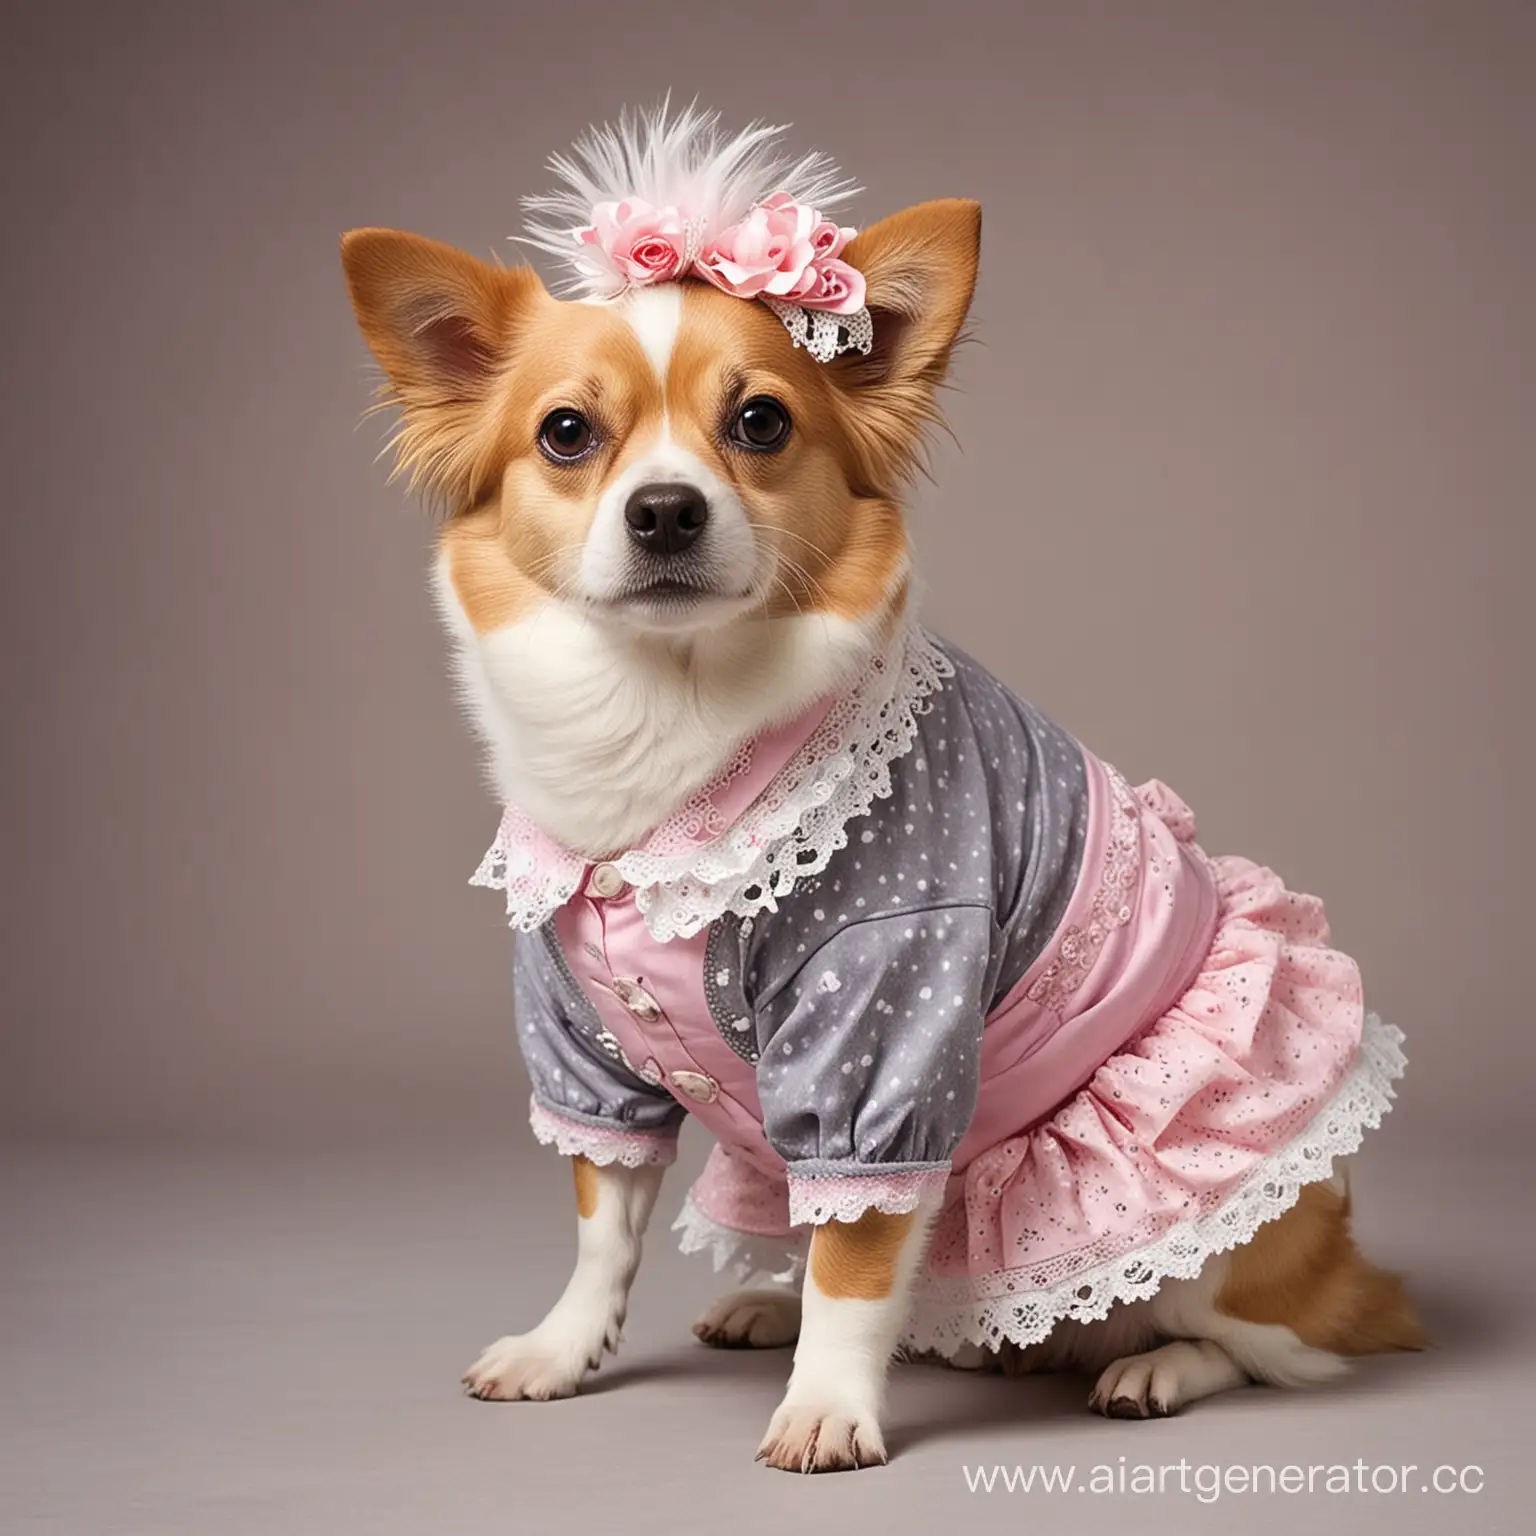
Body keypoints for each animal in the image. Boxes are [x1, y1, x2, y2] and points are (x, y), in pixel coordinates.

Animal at [342, 102, 1419, 1468]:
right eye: (567, 435)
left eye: (760, 424)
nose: (666, 511)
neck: (670, 717)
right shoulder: (585, 1044)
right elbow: (604, 1223)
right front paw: (562, 1349)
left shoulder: (884, 1030)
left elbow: (856, 1251)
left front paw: (826, 1409)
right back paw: (798, 1308)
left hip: (1245, 1251)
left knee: (1272, 1351)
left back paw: (1153, 1369)